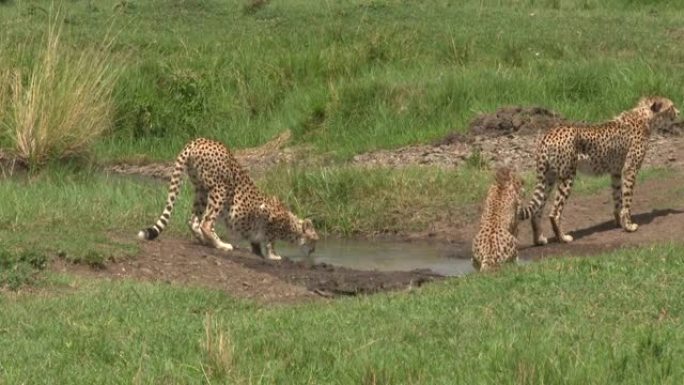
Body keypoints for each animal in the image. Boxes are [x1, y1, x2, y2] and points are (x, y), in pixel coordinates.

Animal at [140, 136, 322, 260]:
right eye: (315, 239)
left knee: (193, 220)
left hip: (201, 189)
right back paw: (221, 244)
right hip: (221, 188)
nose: (314, 250)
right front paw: (273, 255)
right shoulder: (269, 216)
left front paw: (258, 252)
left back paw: (205, 241)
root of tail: (198, 140)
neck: (292, 225)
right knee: (206, 222)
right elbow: (270, 238)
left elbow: (257, 240)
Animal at [520, 97, 680, 244]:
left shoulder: (616, 172)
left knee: (537, 210)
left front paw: (619, 223)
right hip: (567, 176)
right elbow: (627, 200)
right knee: (554, 212)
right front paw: (629, 226)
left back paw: (539, 239)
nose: (678, 112)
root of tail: (548, 134)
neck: (645, 115)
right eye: (671, 107)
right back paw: (563, 238)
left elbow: (618, 199)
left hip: (548, 177)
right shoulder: (630, 170)